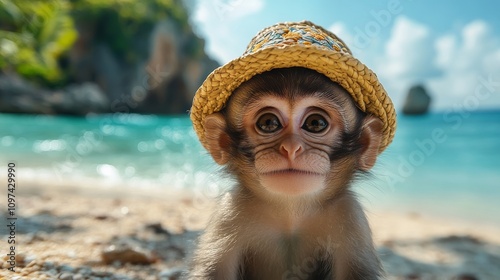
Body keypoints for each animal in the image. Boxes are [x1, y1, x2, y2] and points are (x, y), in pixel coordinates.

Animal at [188, 66, 386, 278]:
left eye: (316, 123)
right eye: (268, 122)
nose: (291, 148)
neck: (290, 215)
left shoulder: (350, 215)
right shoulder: (229, 212)